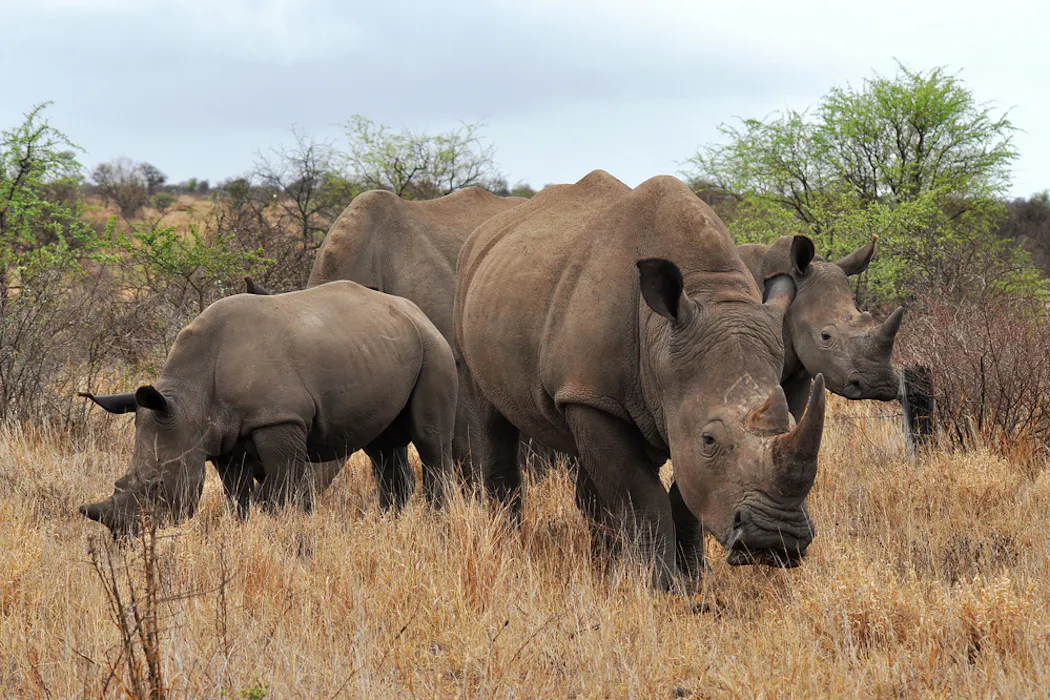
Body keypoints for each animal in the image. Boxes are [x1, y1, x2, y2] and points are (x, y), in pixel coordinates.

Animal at [78, 281, 457, 539]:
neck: (189, 399)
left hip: (434, 347)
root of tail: (414, 309)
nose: (124, 534)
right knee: (382, 445)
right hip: (382, 346)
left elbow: (280, 490)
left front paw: (285, 529)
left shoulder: (278, 420)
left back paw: (436, 524)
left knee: (430, 440)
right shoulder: (222, 438)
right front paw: (243, 531)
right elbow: (237, 496)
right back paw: (389, 525)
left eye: (156, 484)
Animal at [454, 170, 827, 589]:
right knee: (491, 417)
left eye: (791, 422)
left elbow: (686, 493)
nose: (777, 540)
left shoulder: (654, 399)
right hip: (472, 298)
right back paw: (509, 549)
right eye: (709, 439)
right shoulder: (595, 397)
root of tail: (485, 234)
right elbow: (641, 495)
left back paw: (603, 563)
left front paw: (692, 579)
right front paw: (659, 585)